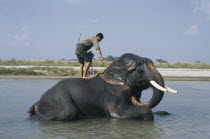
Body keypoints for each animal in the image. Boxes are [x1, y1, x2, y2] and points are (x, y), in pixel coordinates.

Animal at [27, 53, 176, 120]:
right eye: (139, 70)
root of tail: (37, 102)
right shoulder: (115, 93)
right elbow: (116, 113)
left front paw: (164, 113)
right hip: (57, 99)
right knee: (67, 112)